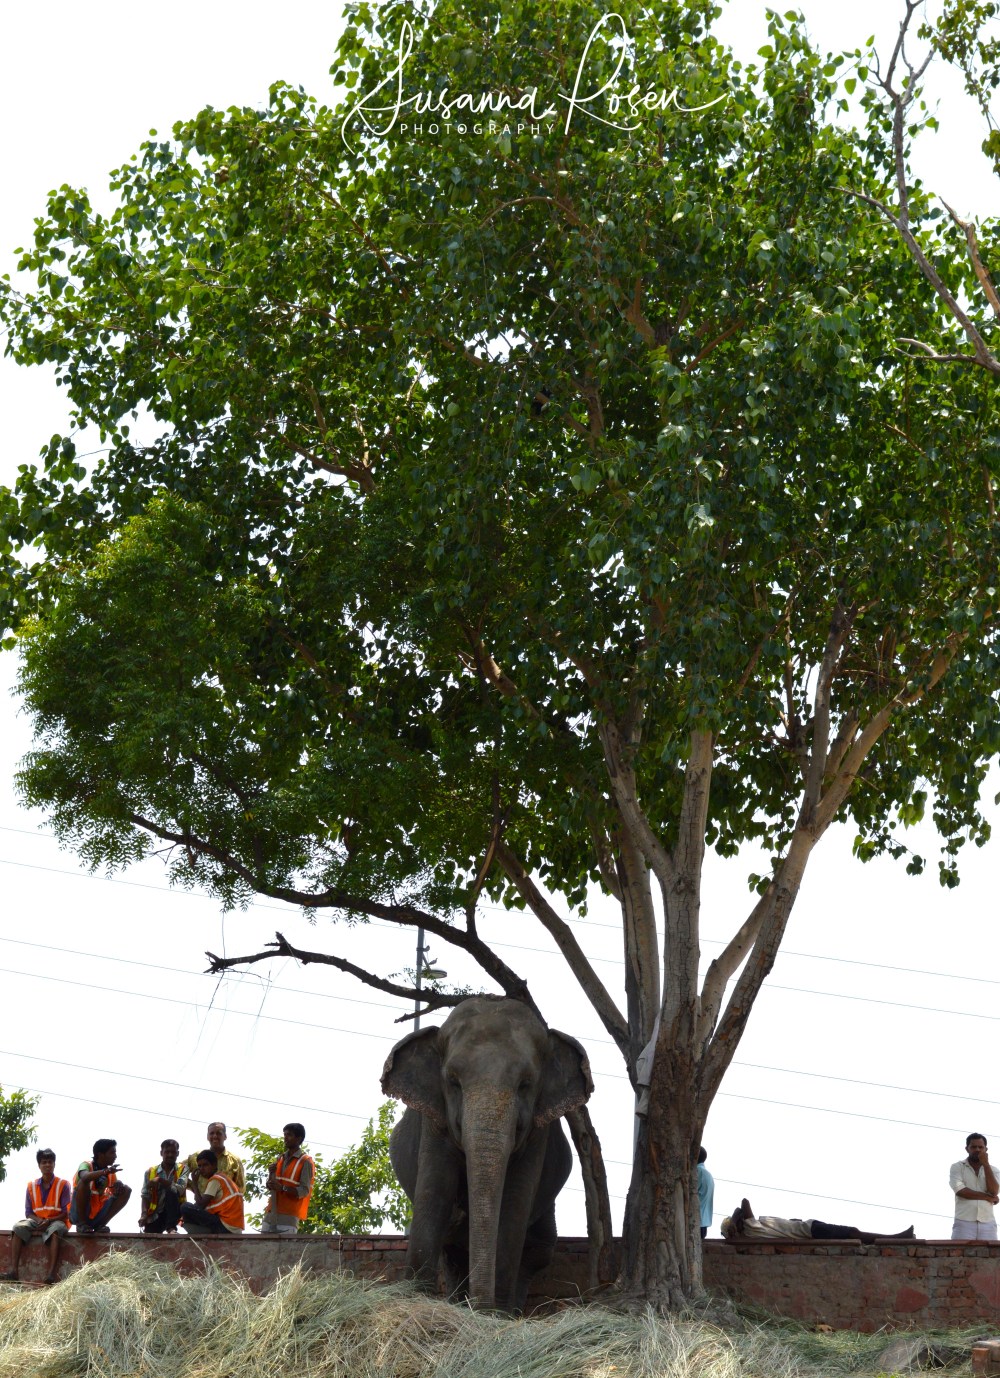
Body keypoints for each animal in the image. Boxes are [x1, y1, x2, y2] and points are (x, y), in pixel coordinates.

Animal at [381, 994, 593, 1311]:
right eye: (453, 1081)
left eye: (525, 1084)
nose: (481, 1306)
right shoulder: (435, 1121)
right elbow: (434, 1193)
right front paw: (415, 1300)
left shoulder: (537, 1132)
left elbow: (515, 1202)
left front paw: (494, 1315)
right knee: (452, 1248)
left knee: (537, 1250)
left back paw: (509, 1310)